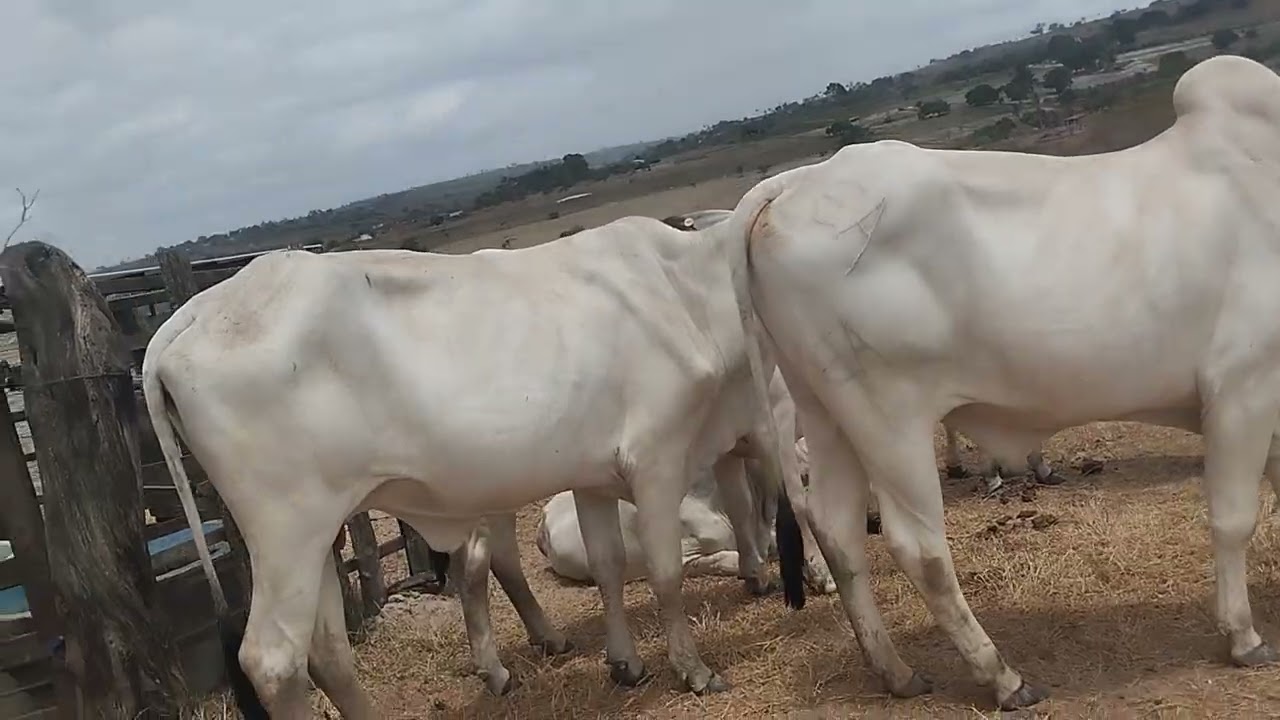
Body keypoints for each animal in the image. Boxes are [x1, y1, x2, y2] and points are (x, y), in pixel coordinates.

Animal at [143, 211, 805, 717]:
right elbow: (666, 573)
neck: (683, 289)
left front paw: (626, 664)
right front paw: (693, 669)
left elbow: (610, 568)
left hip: (316, 536)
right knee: (273, 660)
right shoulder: (658, 460)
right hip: (287, 531)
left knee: (327, 649)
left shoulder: (594, 477)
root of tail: (198, 309)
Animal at [735, 56, 1280, 711]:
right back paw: (1002, 677)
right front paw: (1244, 637)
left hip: (825, 409)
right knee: (919, 547)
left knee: (838, 531)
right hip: (888, 418)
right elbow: (1234, 518)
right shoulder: (1243, 387)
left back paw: (895, 672)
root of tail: (795, 184)